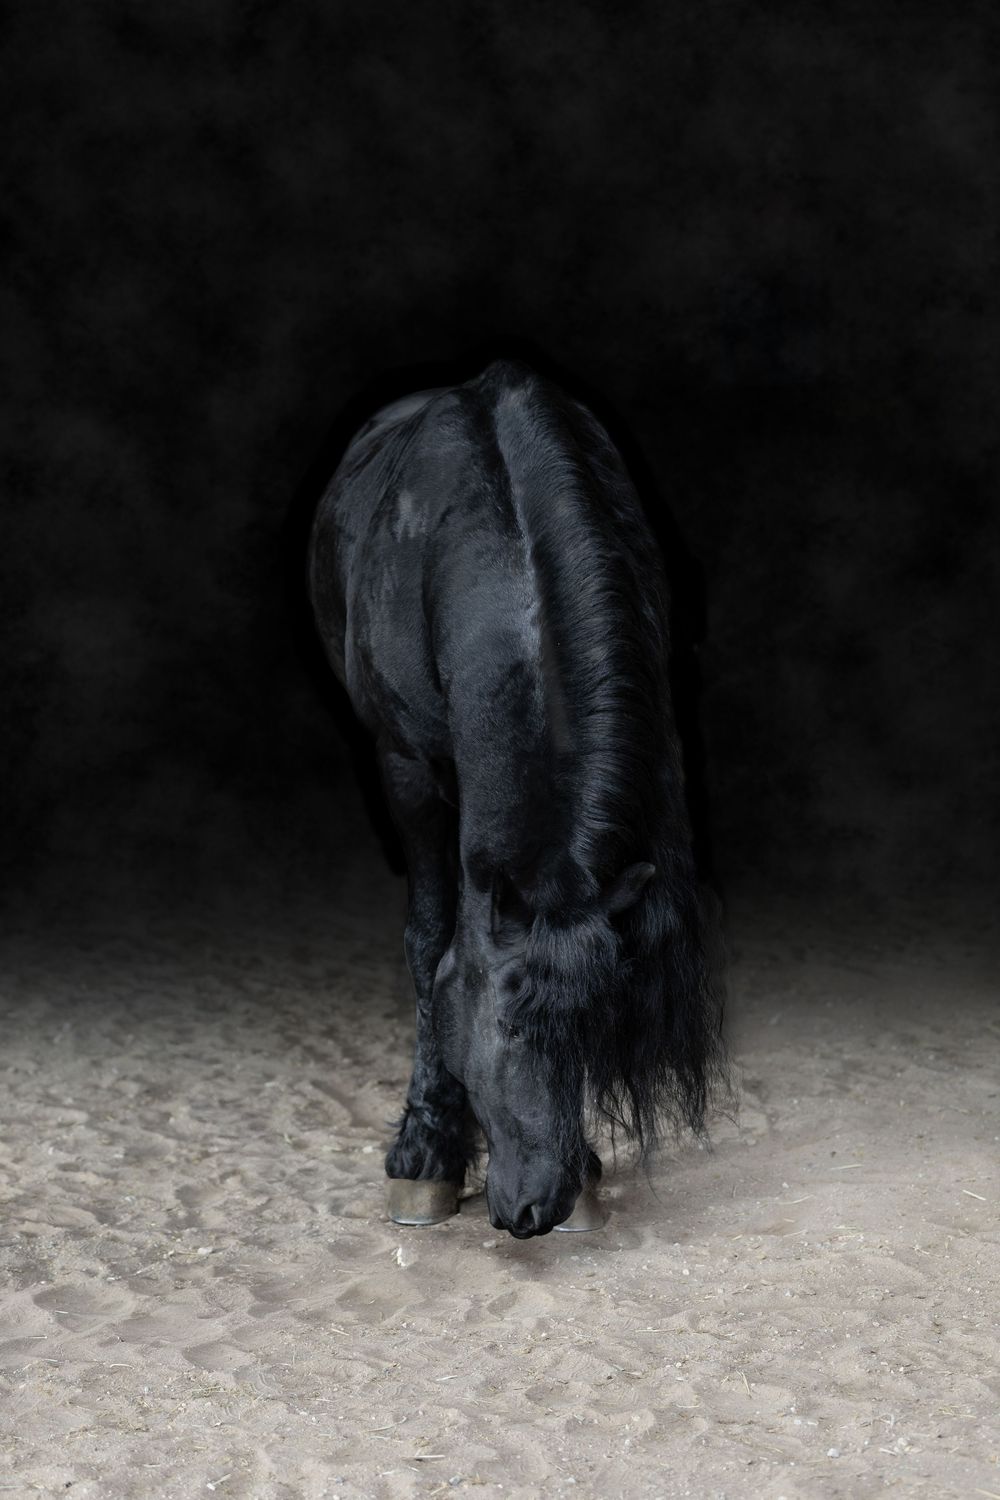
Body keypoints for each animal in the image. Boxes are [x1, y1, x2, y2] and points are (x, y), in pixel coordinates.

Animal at [308, 358, 724, 1239]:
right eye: (505, 1023)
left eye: (591, 1022)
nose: (538, 1203)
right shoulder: (408, 768)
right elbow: (430, 942)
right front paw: (426, 1154)